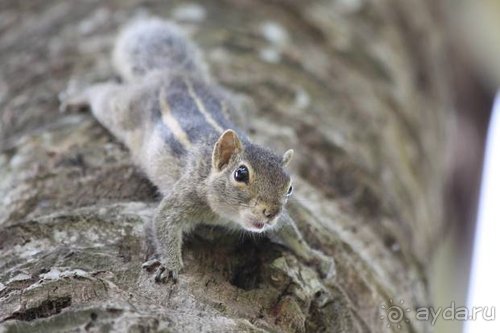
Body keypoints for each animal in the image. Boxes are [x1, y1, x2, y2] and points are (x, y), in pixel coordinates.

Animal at [62, 18, 336, 282]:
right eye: (241, 174)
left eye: (289, 188)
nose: (271, 212)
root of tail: (175, 73)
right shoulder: (185, 194)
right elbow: (163, 222)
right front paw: (170, 264)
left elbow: (290, 230)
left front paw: (315, 257)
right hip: (123, 109)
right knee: (102, 94)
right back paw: (77, 95)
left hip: (237, 103)